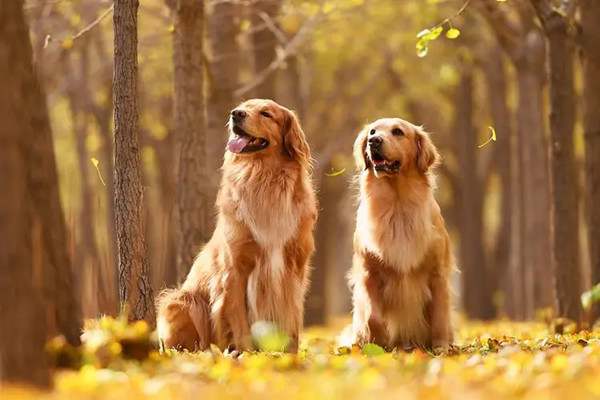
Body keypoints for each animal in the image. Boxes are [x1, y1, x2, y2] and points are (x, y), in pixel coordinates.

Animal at [157, 100, 318, 354]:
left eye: (266, 113)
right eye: (243, 107)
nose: (236, 114)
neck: (264, 178)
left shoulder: (295, 267)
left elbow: (293, 317)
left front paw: (289, 354)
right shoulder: (234, 268)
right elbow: (237, 319)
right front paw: (245, 354)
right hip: (179, 300)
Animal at [350, 118, 452, 350]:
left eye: (397, 132)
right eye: (372, 131)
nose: (374, 141)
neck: (397, 204)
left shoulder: (437, 274)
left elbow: (440, 315)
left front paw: (442, 347)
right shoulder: (369, 273)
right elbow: (373, 317)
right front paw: (378, 346)